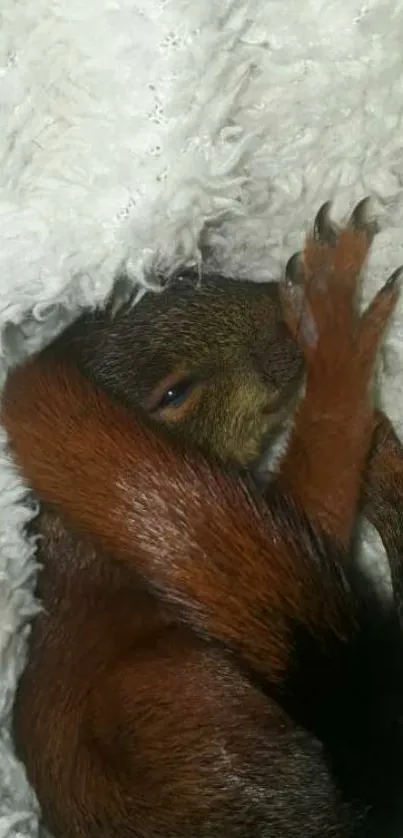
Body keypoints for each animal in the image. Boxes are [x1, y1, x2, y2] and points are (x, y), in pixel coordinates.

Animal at [2, 200, 403, 836]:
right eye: (174, 393)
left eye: (178, 278)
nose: (279, 308)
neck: (81, 546)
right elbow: (319, 481)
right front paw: (331, 318)